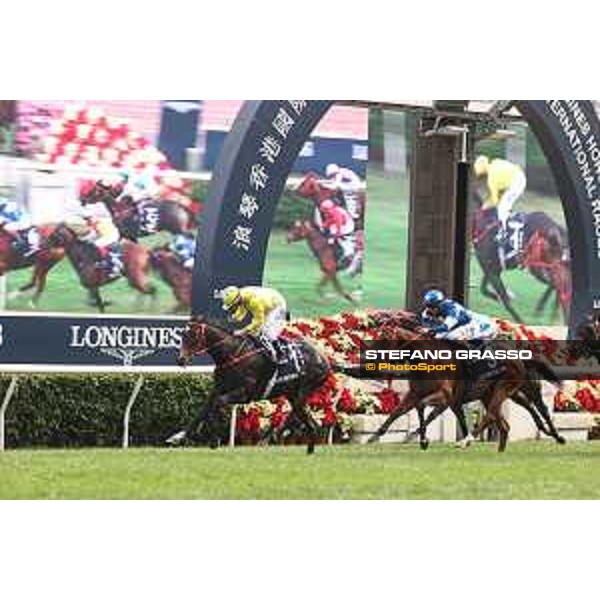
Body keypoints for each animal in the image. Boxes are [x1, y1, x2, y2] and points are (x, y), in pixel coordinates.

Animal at [168, 316, 332, 452]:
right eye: (182, 336)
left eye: (193, 336)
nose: (180, 360)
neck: (231, 355)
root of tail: (325, 359)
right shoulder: (218, 388)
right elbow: (202, 410)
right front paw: (178, 437)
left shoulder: (245, 393)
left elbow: (217, 403)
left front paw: (214, 439)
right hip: (292, 393)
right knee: (312, 423)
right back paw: (307, 450)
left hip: (304, 390)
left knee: (299, 415)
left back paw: (273, 435)